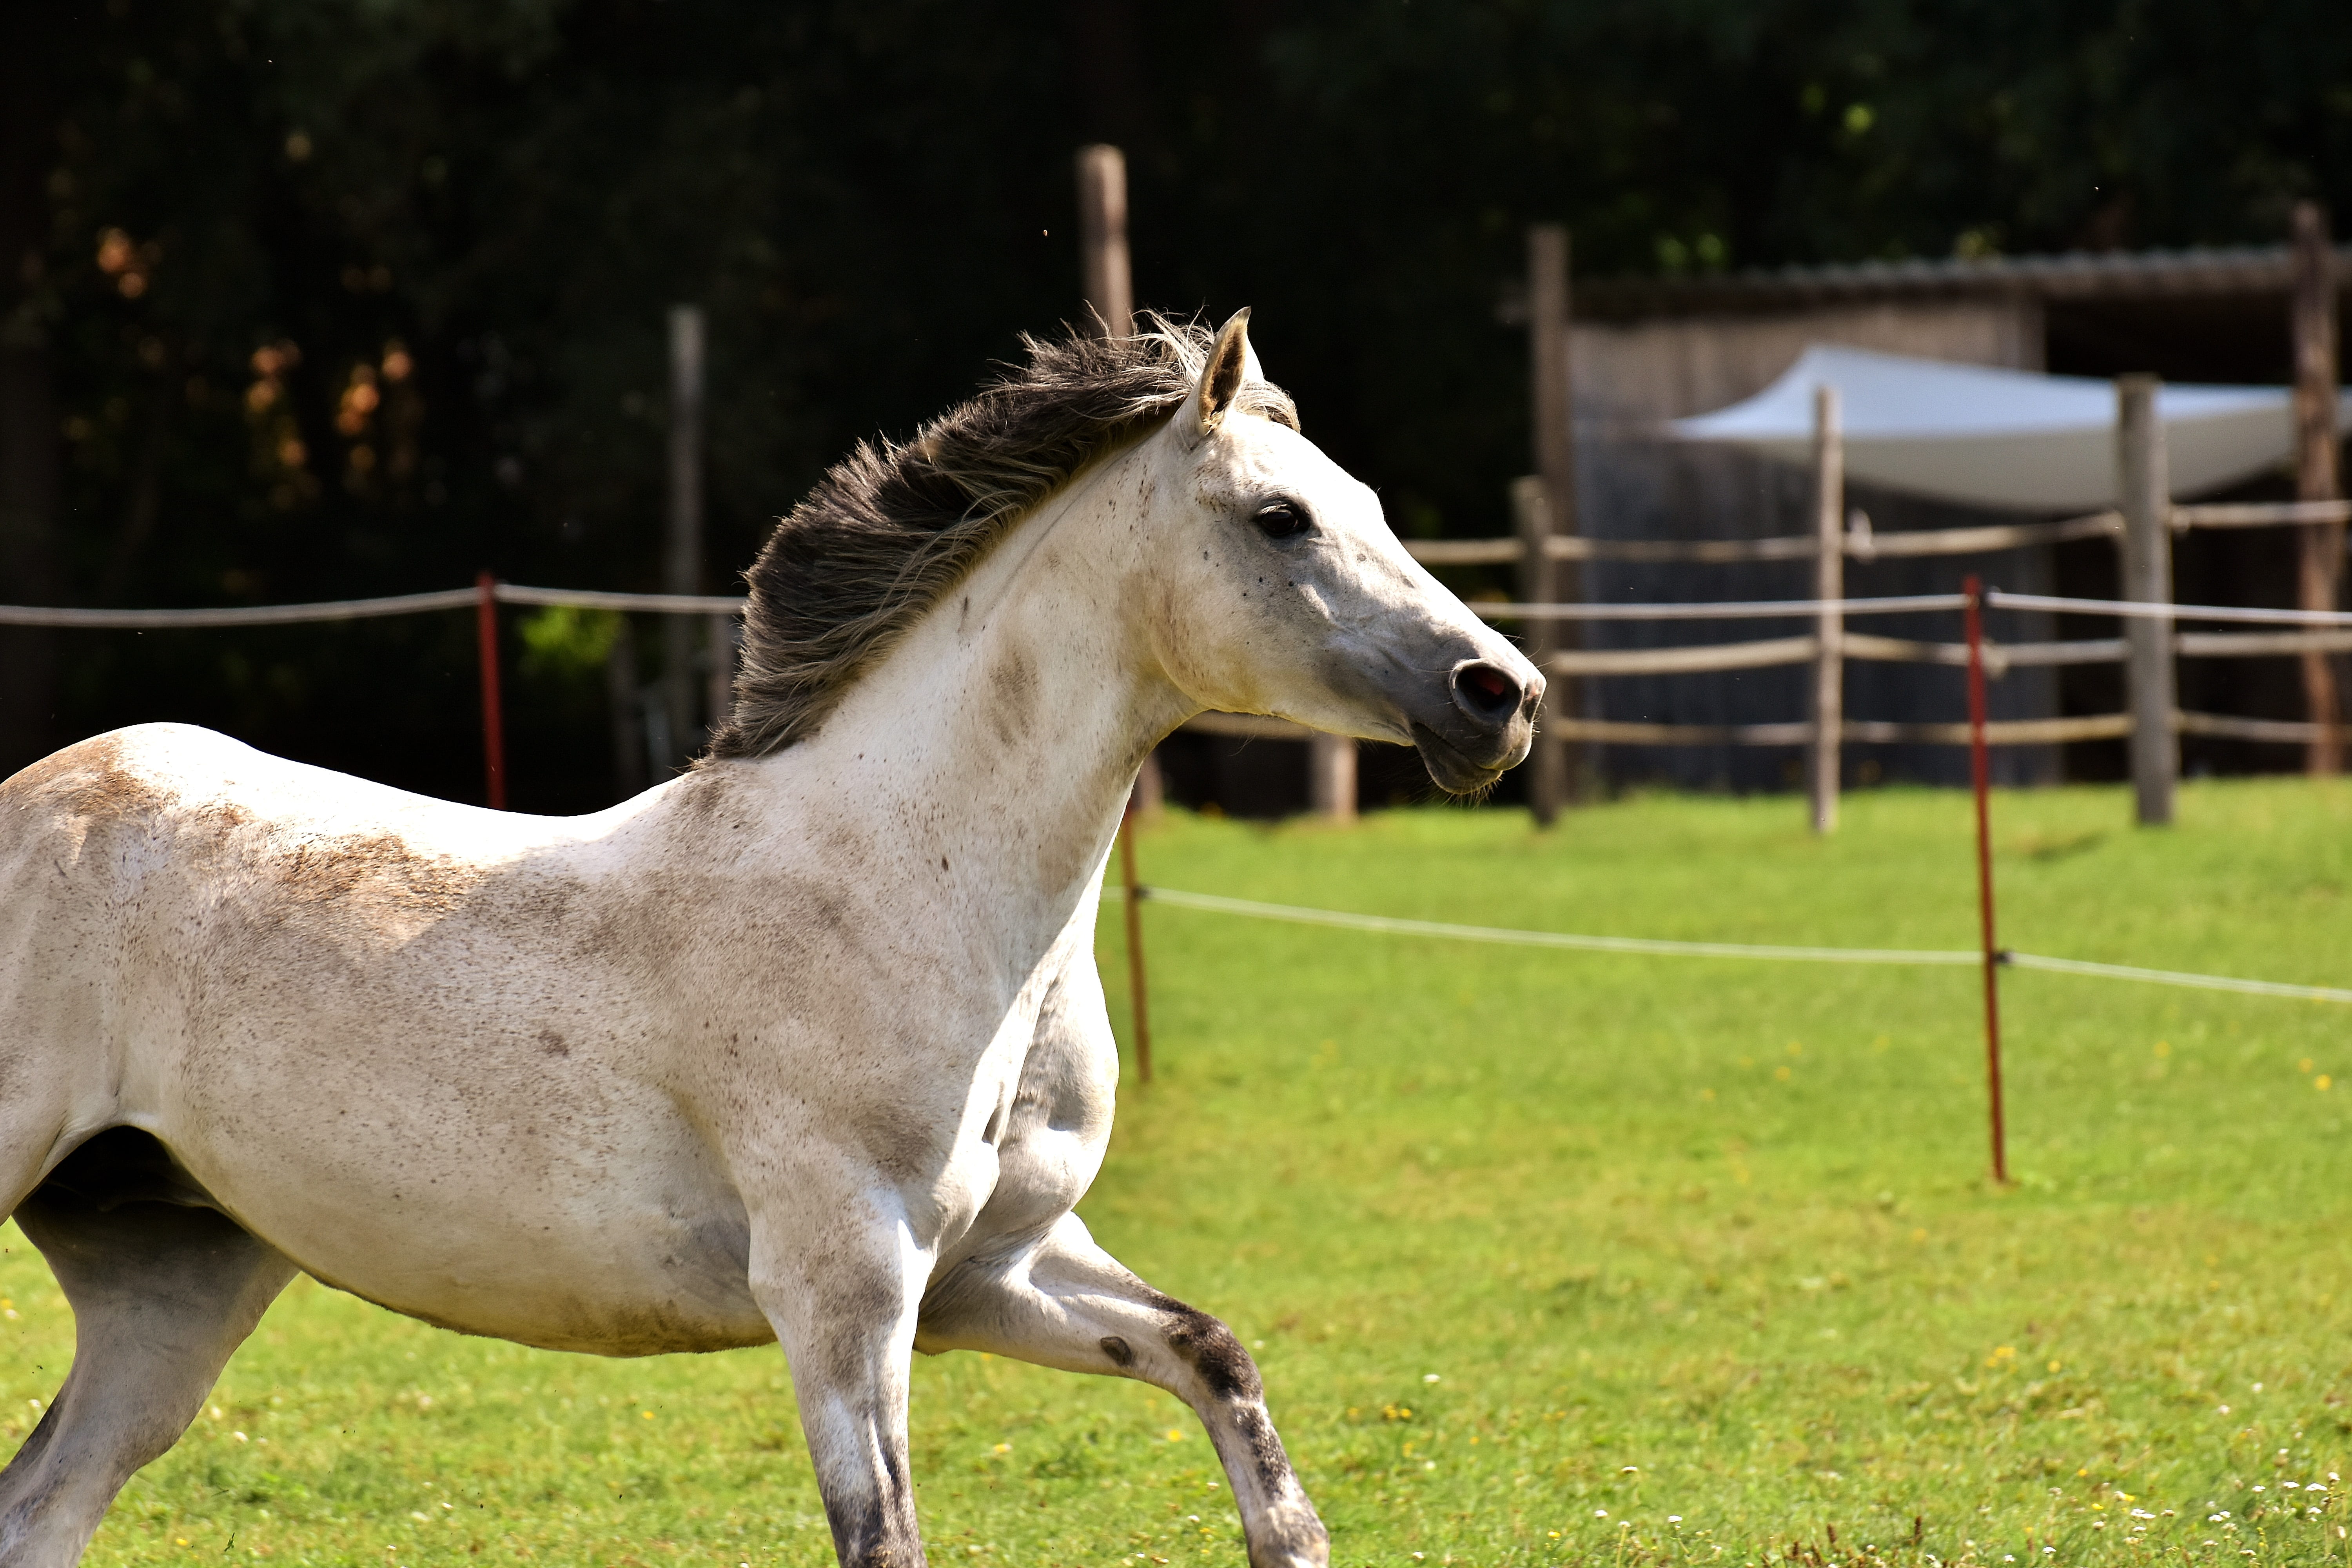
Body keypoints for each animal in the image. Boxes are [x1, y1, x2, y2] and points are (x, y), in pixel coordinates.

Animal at [0, 311, 1542, 1568]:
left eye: (1371, 505)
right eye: (1281, 518)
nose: (1501, 695)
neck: (904, 883)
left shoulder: (1000, 1269)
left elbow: (1224, 1377)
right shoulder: (843, 1292)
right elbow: (886, 1536)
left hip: (175, 1280)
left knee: (44, 1506)